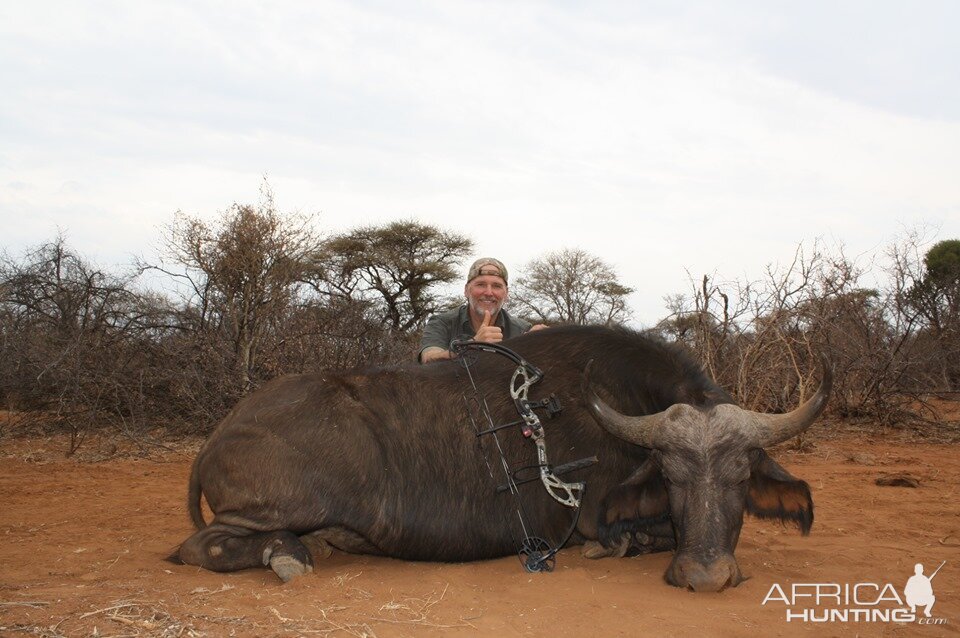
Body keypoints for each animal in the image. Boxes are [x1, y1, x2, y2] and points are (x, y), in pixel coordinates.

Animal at [174, 328, 832, 592]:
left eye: (741, 479)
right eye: (670, 477)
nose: (706, 578)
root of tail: (222, 431)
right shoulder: (600, 517)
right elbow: (629, 537)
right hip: (275, 510)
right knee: (202, 546)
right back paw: (288, 555)